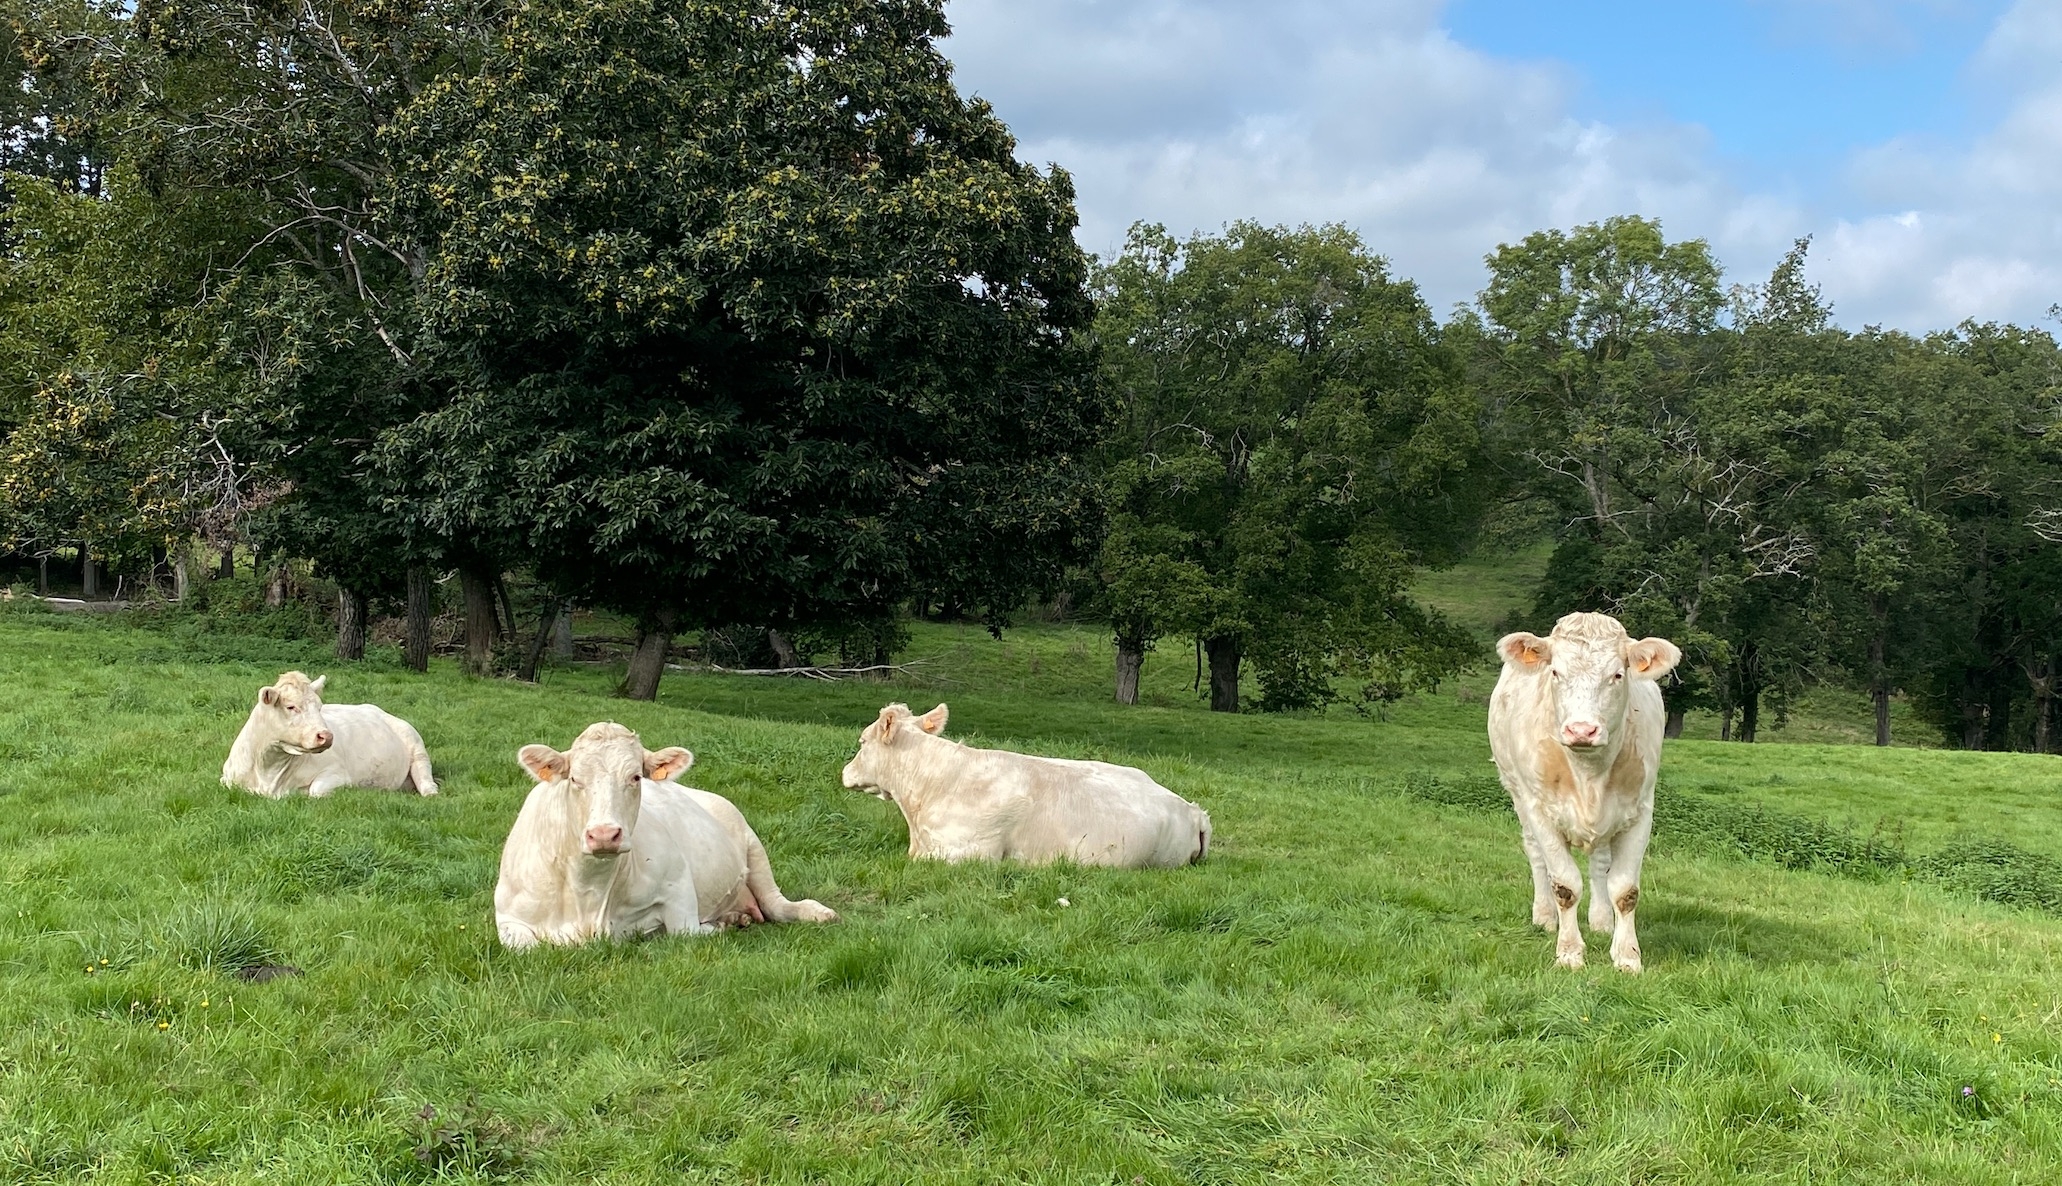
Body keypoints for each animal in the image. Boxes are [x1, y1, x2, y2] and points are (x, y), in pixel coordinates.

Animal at [223, 672, 437, 804]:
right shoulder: (226, 779)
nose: (326, 736)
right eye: (291, 706)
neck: (267, 770)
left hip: (416, 745)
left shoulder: (338, 773)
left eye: (319, 707)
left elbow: (315, 791)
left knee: (426, 780)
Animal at [494, 717, 841, 952]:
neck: (587, 895)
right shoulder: (508, 918)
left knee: (777, 905)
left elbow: (684, 932)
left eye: (636, 777)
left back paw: (814, 913)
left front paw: (719, 925)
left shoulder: (678, 887)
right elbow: (527, 947)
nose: (605, 835)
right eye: (575, 779)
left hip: (752, 845)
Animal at [1492, 610, 1682, 973]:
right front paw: (1569, 953)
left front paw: (1627, 956)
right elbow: (1565, 885)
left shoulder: (1640, 812)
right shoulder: (1540, 810)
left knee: (1599, 863)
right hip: (1517, 793)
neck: (1588, 774)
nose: (1581, 730)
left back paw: (1601, 920)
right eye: (1555, 672)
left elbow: (1625, 889)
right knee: (1535, 854)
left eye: (1617, 674)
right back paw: (1544, 916)